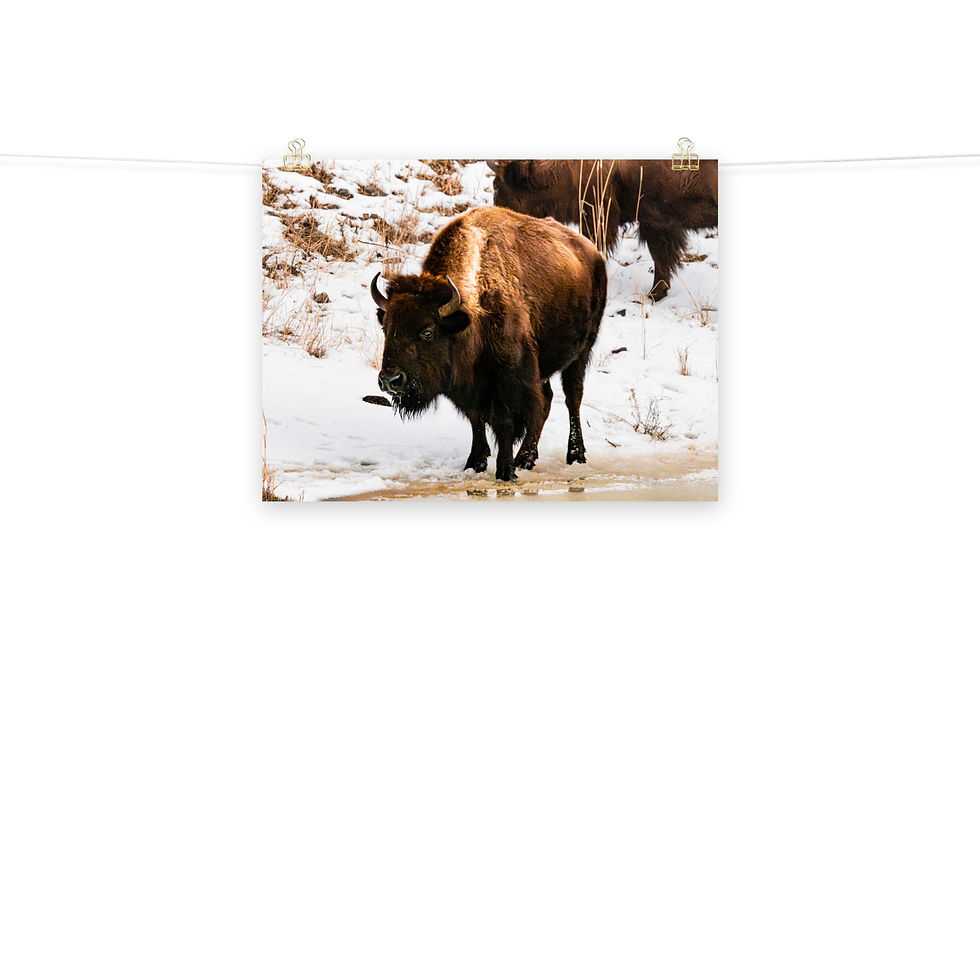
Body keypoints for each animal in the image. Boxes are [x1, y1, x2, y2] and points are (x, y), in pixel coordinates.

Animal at [371, 206, 607, 482]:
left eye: (427, 332)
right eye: (386, 328)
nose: (390, 380)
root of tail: (593, 253)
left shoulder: (509, 378)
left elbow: (505, 422)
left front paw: (505, 471)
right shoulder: (469, 386)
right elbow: (477, 420)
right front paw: (475, 463)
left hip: (581, 352)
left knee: (572, 398)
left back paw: (574, 455)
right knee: (546, 400)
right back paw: (526, 458)